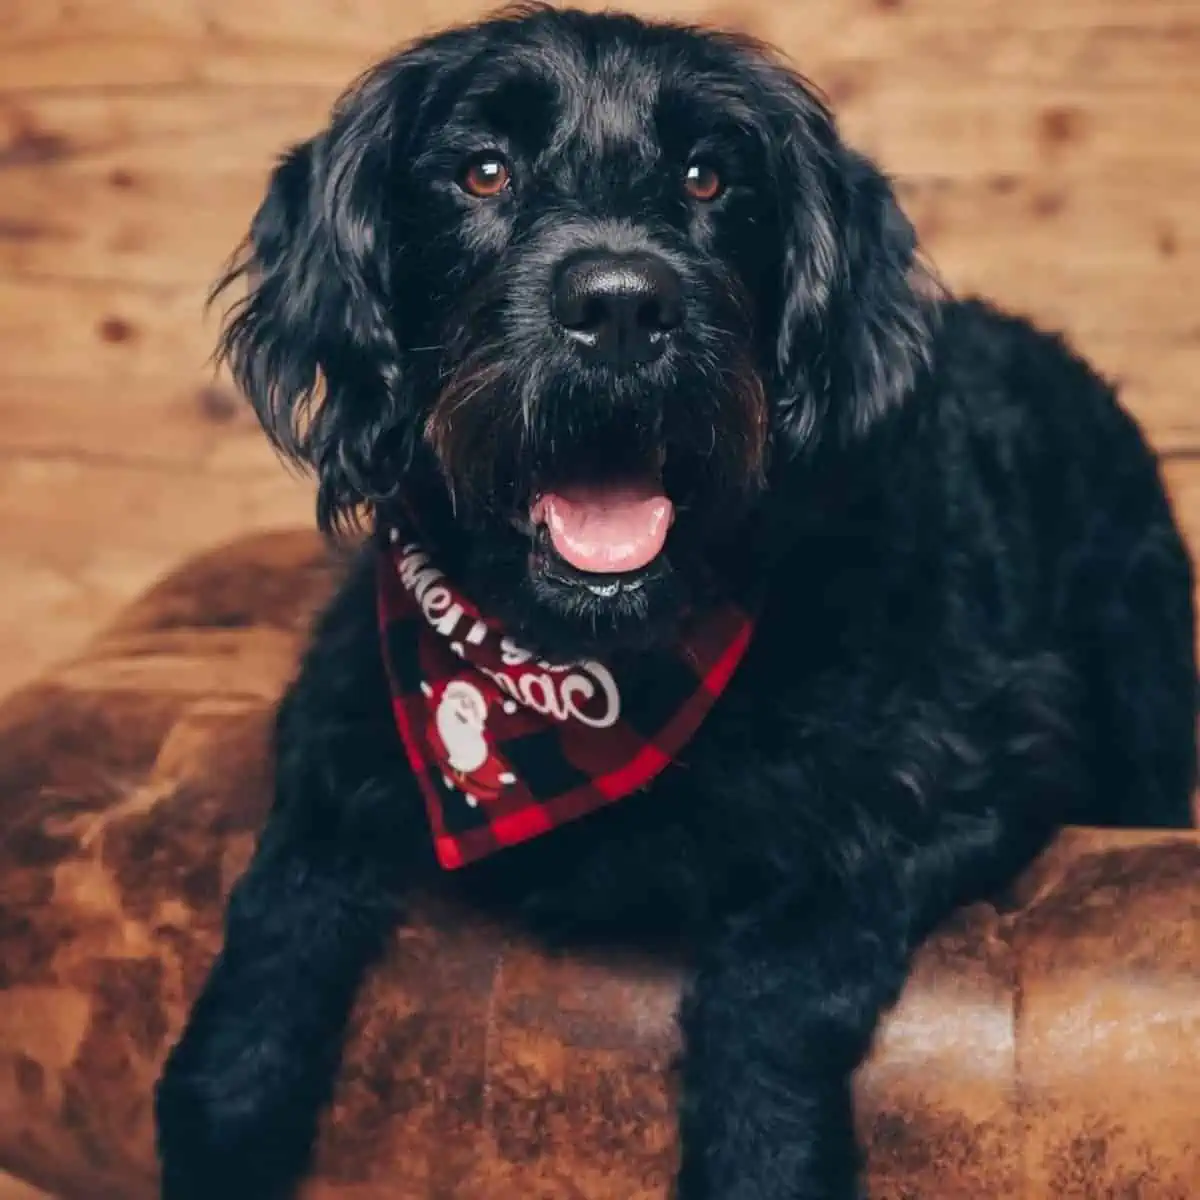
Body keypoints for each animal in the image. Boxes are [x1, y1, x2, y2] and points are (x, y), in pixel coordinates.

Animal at [154, 4, 1195, 1195]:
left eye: (708, 177)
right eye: (482, 169)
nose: (619, 308)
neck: (576, 667)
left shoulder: (977, 769)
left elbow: (779, 972)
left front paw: (763, 1158)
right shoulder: (349, 709)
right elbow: (282, 898)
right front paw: (221, 1116)